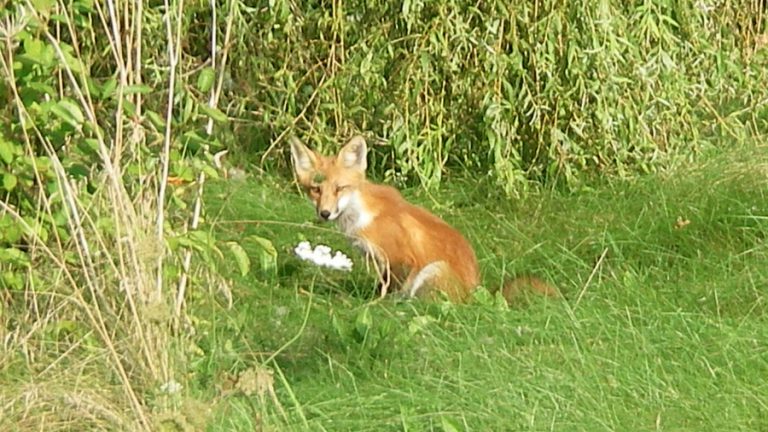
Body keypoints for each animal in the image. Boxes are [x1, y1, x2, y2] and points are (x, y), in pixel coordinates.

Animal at [290, 135, 560, 304]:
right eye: (315, 189)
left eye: (339, 189)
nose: (325, 213)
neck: (360, 215)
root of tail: (476, 295)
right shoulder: (381, 263)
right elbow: (381, 287)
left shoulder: (401, 259)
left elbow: (386, 293)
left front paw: (370, 307)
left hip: (434, 270)